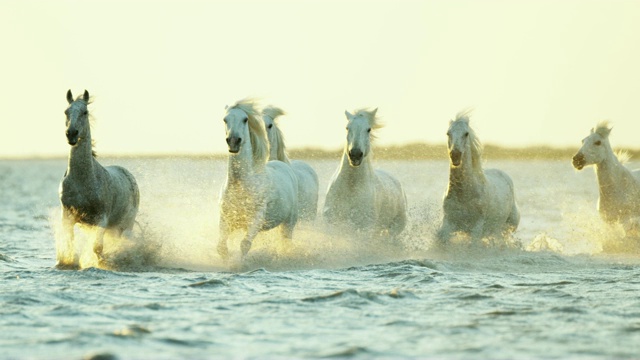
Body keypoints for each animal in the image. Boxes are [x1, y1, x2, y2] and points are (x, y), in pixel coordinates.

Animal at [57, 89, 140, 268]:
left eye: (85, 112)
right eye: (66, 112)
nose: (71, 134)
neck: (82, 180)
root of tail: (128, 174)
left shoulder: (101, 219)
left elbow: (97, 248)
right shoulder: (67, 216)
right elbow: (69, 245)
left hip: (125, 225)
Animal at [219, 98, 298, 258]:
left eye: (245, 119)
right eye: (225, 119)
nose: (233, 141)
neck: (241, 185)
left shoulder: (256, 219)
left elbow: (245, 245)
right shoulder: (226, 219)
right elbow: (221, 248)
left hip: (289, 222)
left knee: (286, 241)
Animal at [322, 108, 408, 238]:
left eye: (369, 129)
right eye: (347, 128)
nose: (355, 155)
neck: (351, 188)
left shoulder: (365, 227)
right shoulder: (332, 222)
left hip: (395, 228)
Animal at [436, 111, 520, 243]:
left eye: (466, 133)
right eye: (448, 133)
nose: (455, 155)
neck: (463, 194)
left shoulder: (477, 227)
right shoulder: (448, 223)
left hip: (507, 227)